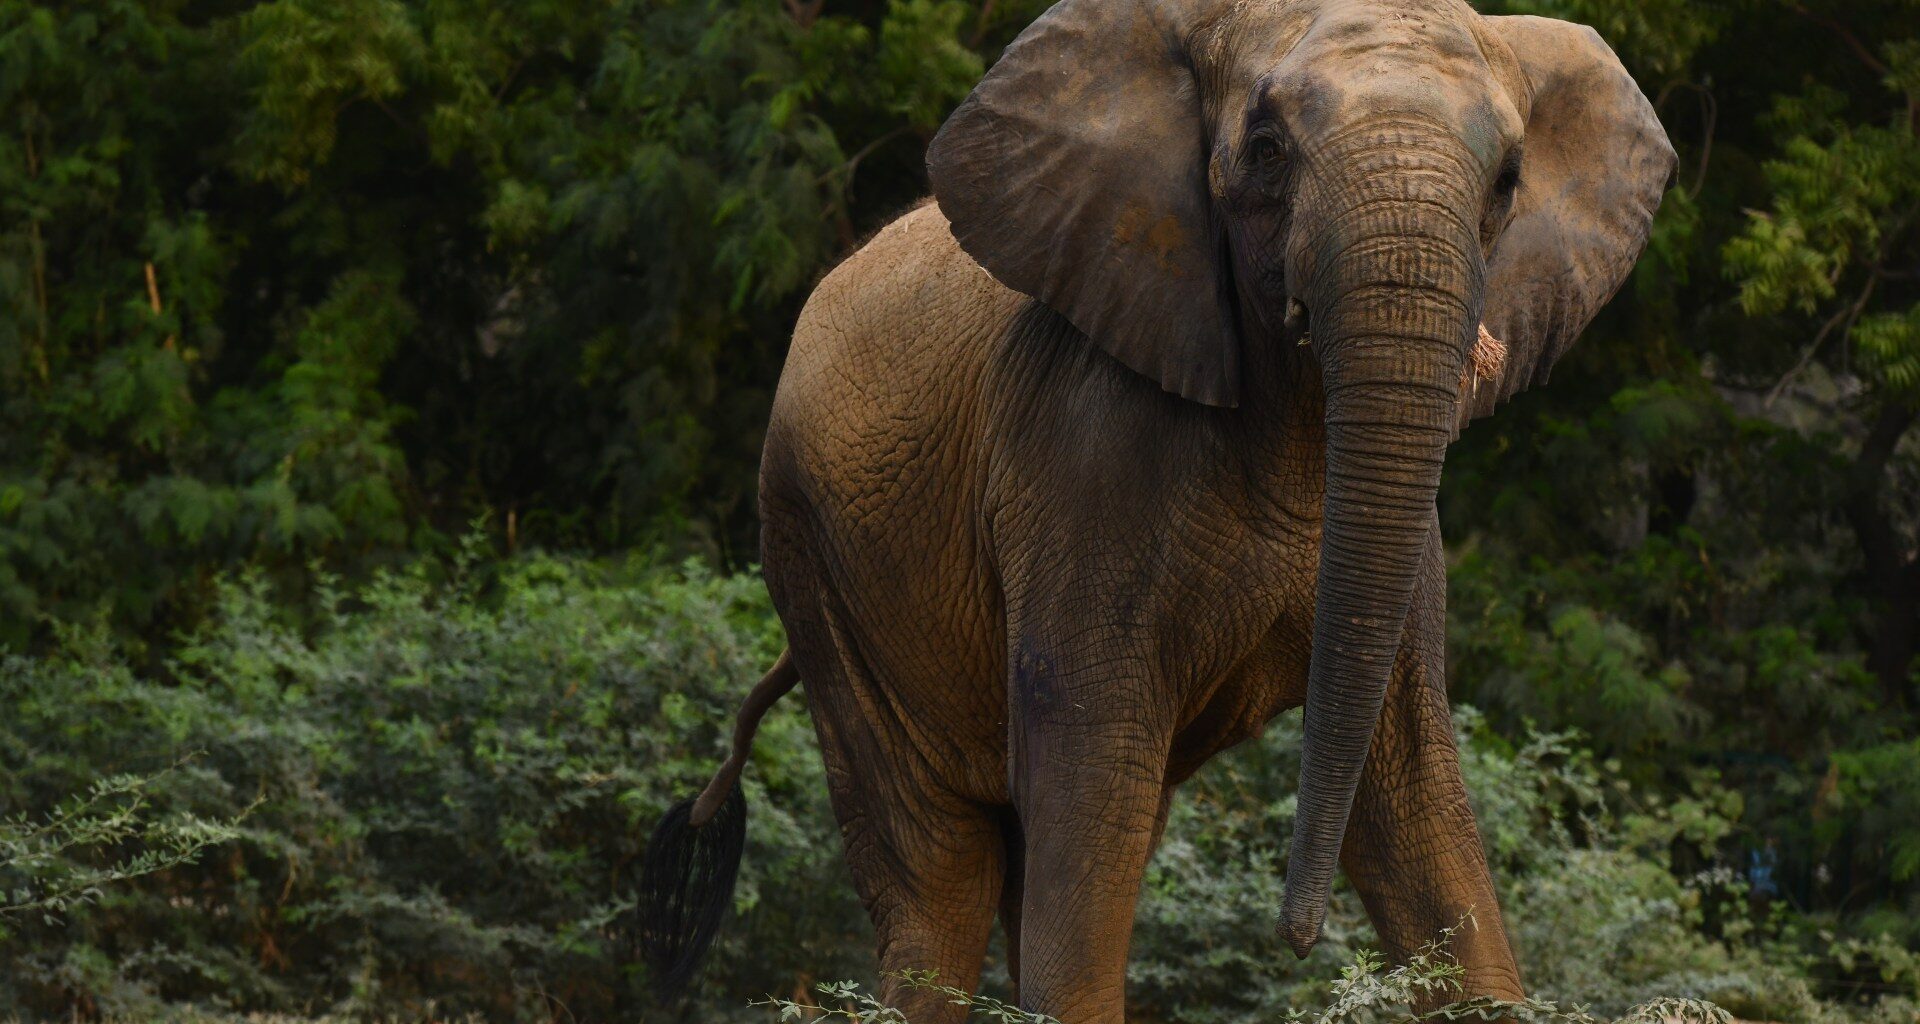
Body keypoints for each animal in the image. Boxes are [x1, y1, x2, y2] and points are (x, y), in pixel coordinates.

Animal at [639, 0, 1674, 1020]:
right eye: (1266, 149)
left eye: (1508, 179)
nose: (1297, 939)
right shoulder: (1077, 453)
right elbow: (1093, 775)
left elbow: (1414, 795)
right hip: (814, 565)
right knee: (946, 872)